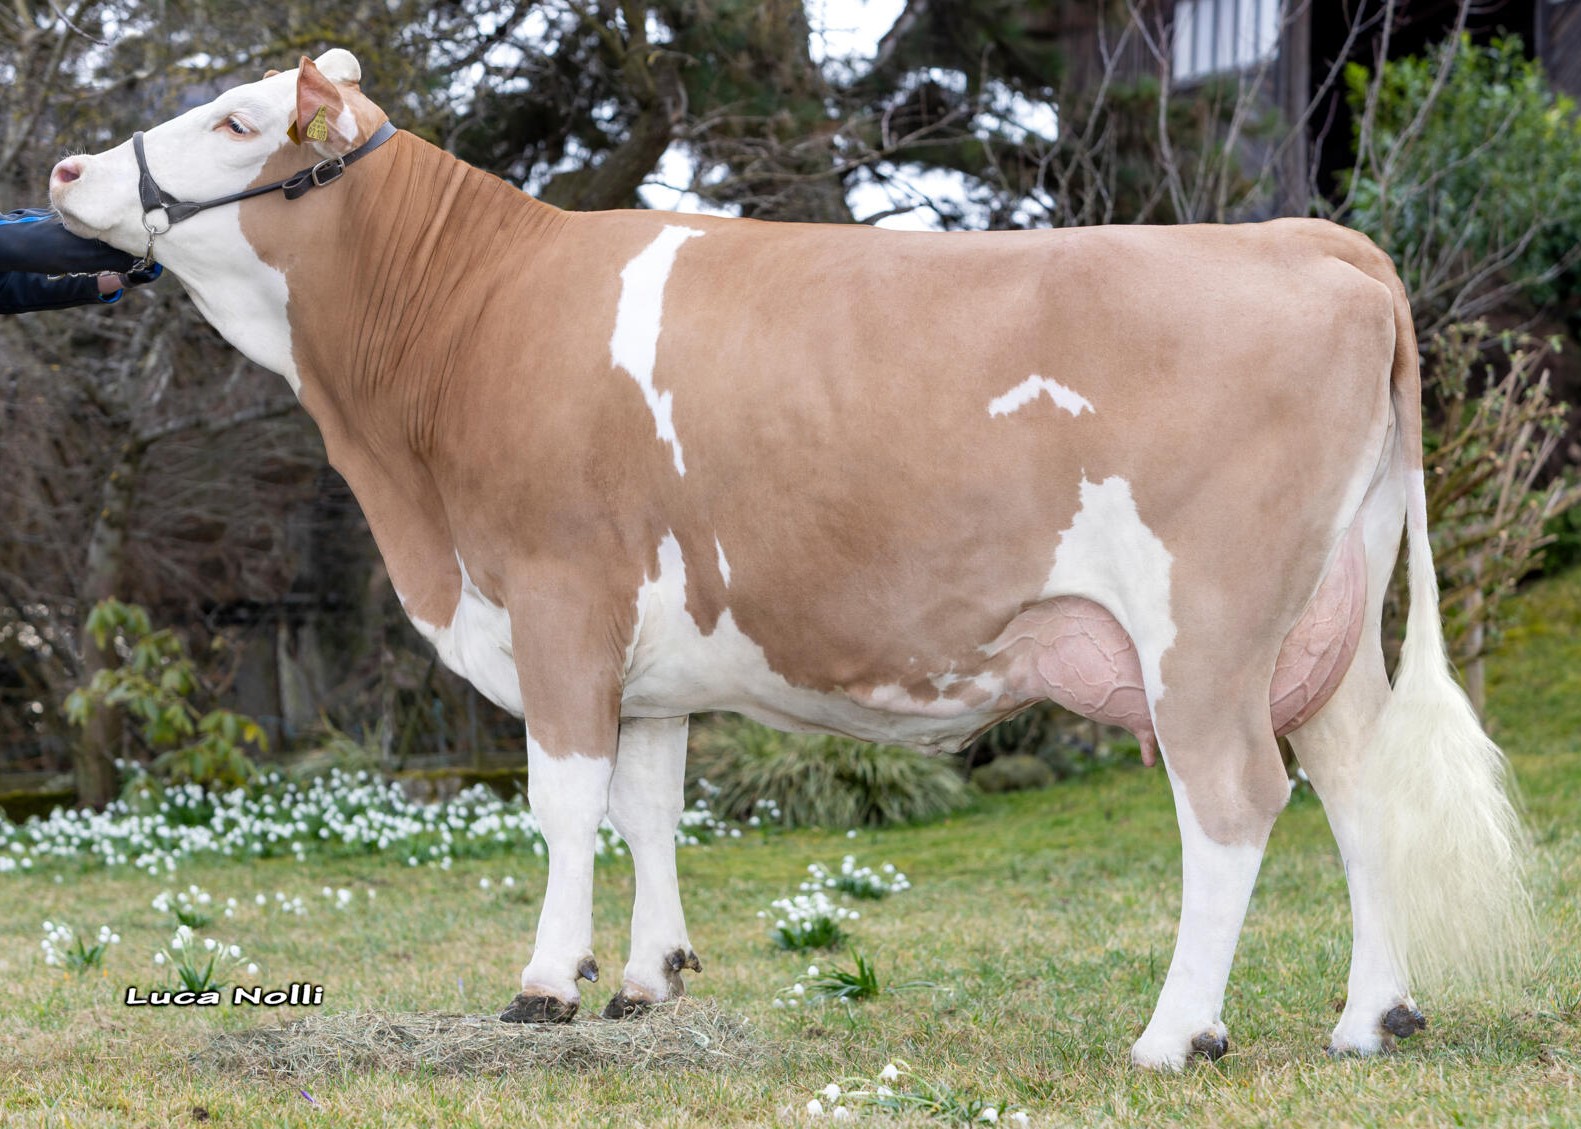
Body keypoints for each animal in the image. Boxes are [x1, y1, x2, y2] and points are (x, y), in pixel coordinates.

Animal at [50, 50, 1529, 1069]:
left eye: (237, 122)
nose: (64, 174)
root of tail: (1308, 237)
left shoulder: (559, 596)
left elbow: (563, 804)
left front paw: (545, 983)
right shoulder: (646, 654)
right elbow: (648, 806)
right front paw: (645, 979)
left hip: (1206, 629)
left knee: (1235, 802)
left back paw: (1176, 1036)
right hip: (1324, 619)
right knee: (1355, 782)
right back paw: (1372, 1016)